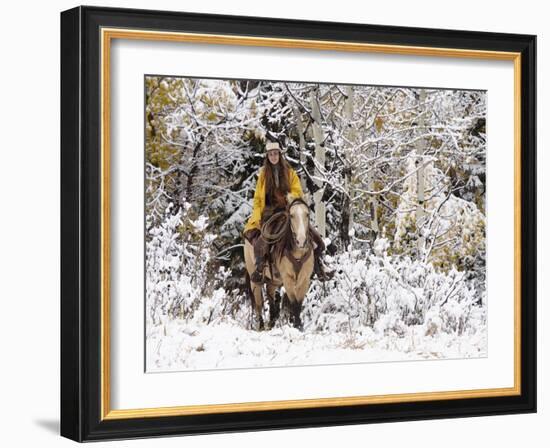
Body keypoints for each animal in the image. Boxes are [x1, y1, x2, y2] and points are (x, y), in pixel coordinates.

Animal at [245, 198, 316, 330]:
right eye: (291, 215)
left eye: (307, 214)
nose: (301, 241)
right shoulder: (288, 279)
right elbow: (294, 302)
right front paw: (296, 325)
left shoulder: (304, 279)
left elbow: (299, 303)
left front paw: (298, 325)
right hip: (255, 280)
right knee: (258, 304)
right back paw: (261, 325)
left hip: (274, 281)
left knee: (270, 296)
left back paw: (272, 320)